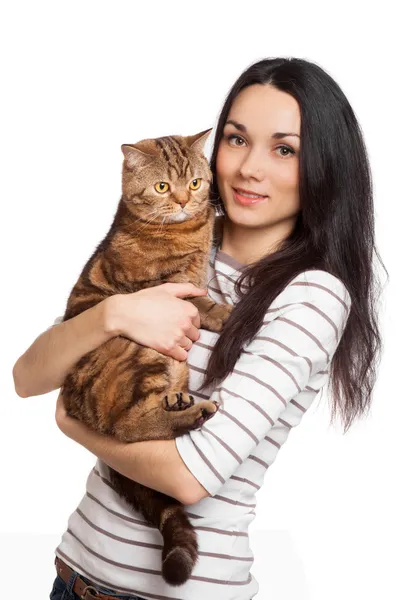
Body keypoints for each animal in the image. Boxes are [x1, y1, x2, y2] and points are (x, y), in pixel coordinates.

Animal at [61, 130, 233, 584]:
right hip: (141, 348)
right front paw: (226, 312)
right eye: (161, 186)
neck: (187, 230)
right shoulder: (161, 291)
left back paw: (180, 402)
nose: (183, 201)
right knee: (127, 426)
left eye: (194, 182)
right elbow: (200, 303)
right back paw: (193, 413)